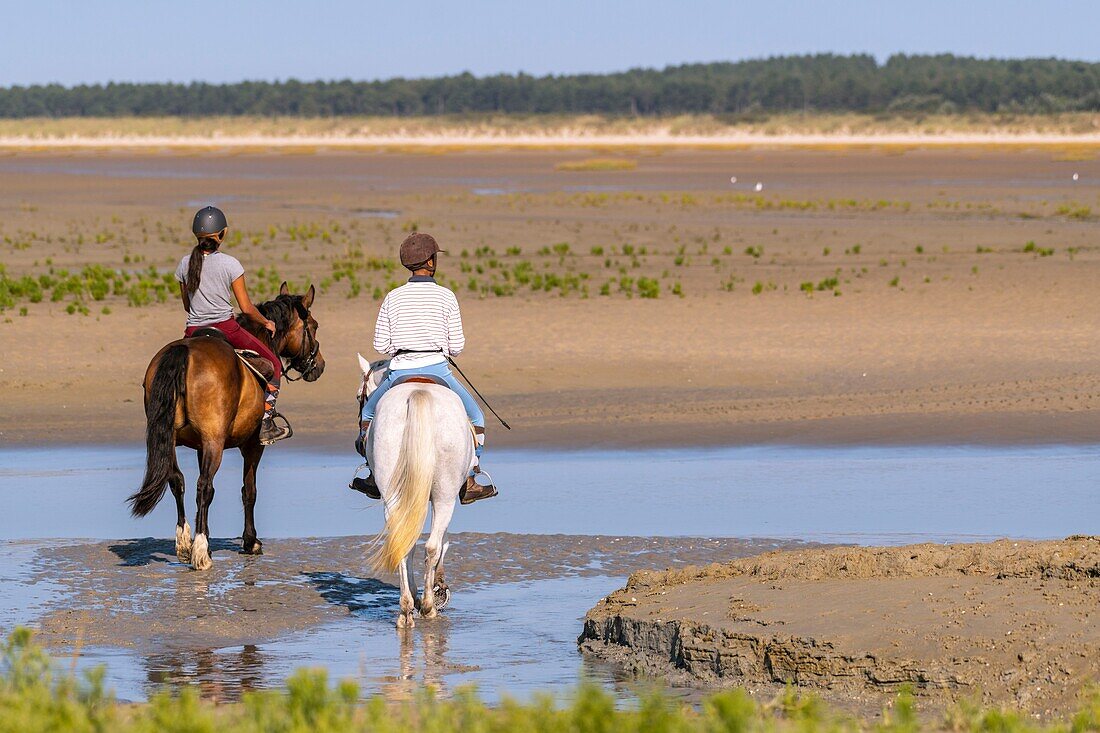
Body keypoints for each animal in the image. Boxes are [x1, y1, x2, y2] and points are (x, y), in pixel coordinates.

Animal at [125, 281, 321, 567]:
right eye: (314, 326)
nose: (319, 365)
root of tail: (183, 351)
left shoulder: (199, 446)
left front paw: (204, 535)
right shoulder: (252, 446)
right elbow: (249, 491)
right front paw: (250, 541)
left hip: (171, 439)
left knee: (178, 481)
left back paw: (185, 543)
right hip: (215, 442)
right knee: (204, 487)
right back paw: (199, 552)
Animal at [358, 352, 475, 625]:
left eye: (360, 396)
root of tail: (418, 393)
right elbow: (443, 542)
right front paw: (439, 590)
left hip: (393, 494)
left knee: (403, 542)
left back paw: (406, 609)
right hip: (445, 496)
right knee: (431, 545)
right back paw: (429, 606)